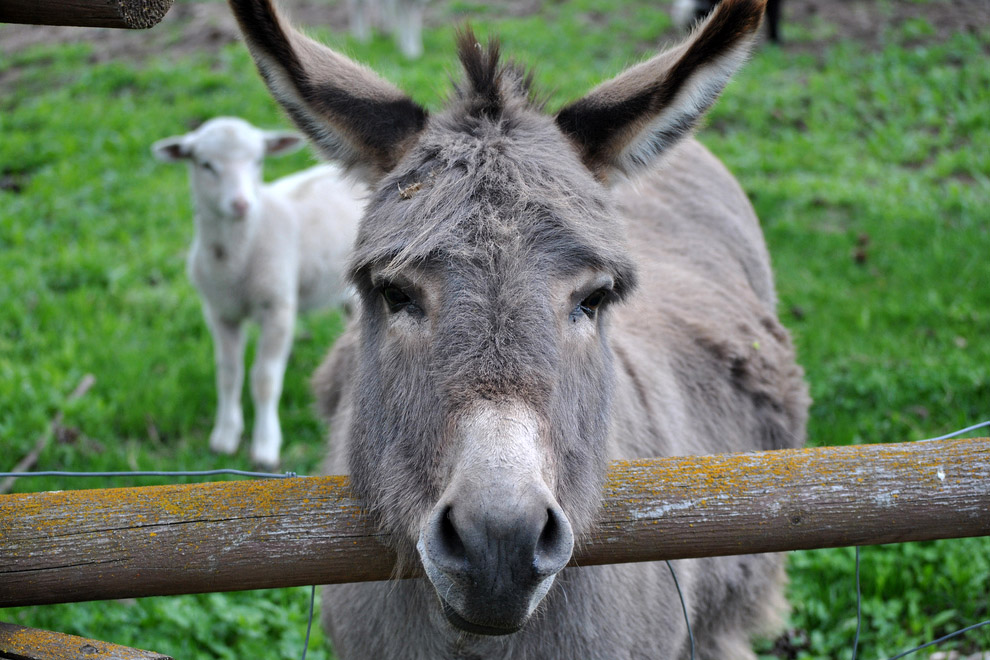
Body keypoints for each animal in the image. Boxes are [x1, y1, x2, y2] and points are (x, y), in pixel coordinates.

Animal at [153, 116, 370, 466]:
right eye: (205, 164)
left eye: (258, 161)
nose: (241, 203)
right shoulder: (219, 312)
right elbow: (228, 372)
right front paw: (225, 435)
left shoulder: (277, 307)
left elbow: (265, 379)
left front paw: (266, 445)